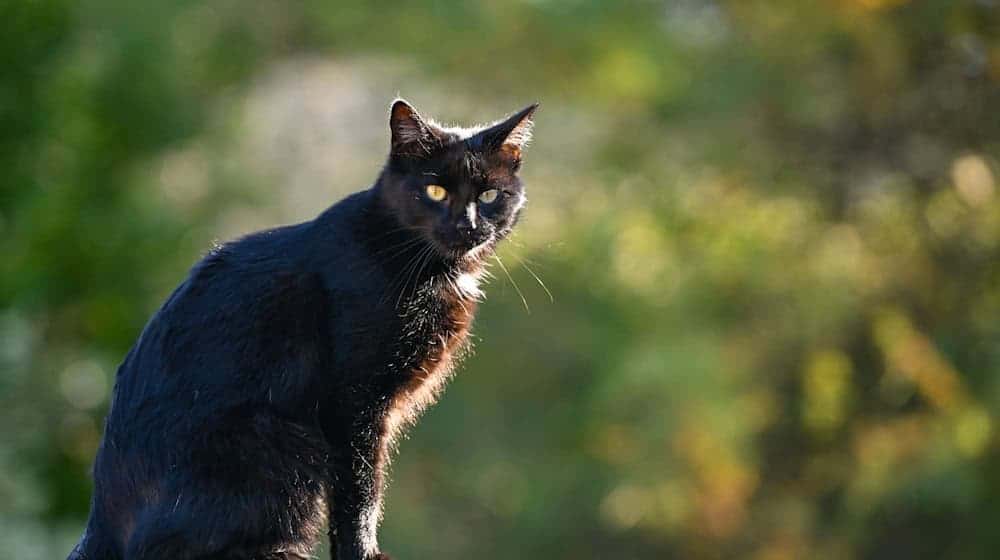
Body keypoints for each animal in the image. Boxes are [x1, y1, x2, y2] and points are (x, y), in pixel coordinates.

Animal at [68, 100, 540, 560]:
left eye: (490, 195)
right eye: (435, 191)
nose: (469, 226)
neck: (424, 264)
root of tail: (100, 521)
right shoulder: (352, 402)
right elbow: (360, 490)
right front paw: (363, 553)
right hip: (277, 440)